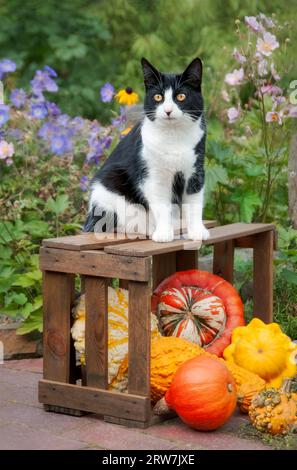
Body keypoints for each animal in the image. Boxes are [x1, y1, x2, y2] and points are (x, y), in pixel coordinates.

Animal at [83, 56, 208, 242]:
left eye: (181, 96)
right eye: (158, 97)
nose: (168, 110)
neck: (173, 137)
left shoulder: (195, 171)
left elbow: (194, 202)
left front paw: (197, 231)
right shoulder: (152, 175)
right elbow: (161, 205)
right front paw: (163, 233)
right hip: (109, 186)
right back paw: (148, 228)